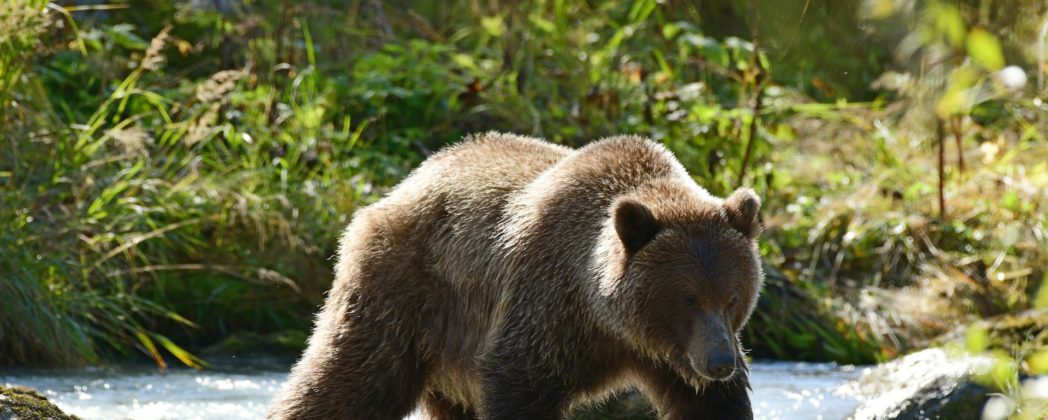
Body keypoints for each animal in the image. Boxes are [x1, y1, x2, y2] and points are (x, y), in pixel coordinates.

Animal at [269, 132, 763, 420]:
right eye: (687, 297)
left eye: (733, 297)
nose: (721, 362)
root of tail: (407, 182)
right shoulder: (546, 305)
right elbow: (520, 383)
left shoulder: (674, 358)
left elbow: (711, 405)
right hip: (404, 292)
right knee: (350, 380)